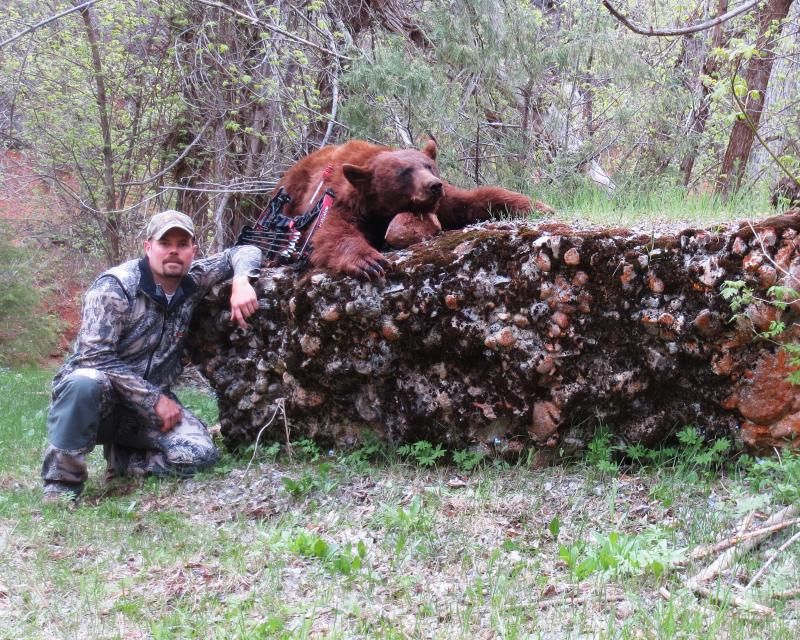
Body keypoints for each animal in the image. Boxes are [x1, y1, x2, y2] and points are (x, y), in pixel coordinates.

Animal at [273, 138, 535, 279]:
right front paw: (369, 262)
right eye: (404, 173)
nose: (434, 185)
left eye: (428, 165)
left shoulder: (444, 203)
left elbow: (475, 200)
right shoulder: (341, 200)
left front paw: (533, 205)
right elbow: (327, 231)